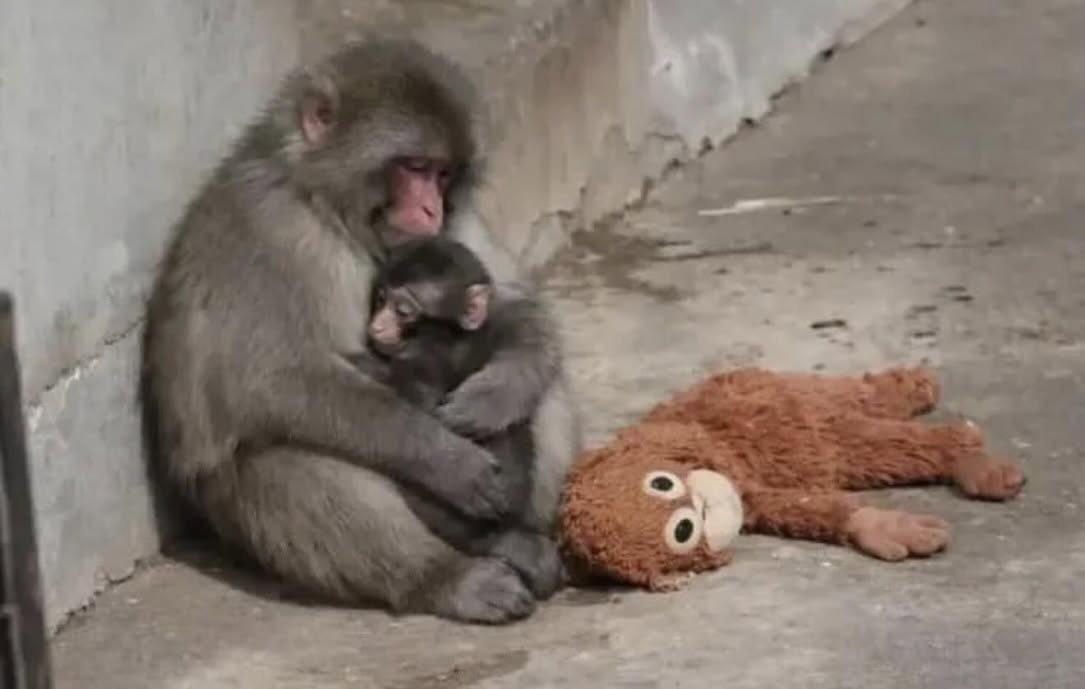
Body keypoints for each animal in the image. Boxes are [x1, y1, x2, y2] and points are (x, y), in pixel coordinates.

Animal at [142, 39, 581, 625]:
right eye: (414, 168)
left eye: (443, 175)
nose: (432, 208)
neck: (327, 209)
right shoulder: (270, 229)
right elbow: (271, 381)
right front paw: (448, 461)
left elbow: (512, 307)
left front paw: (494, 395)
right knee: (287, 456)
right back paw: (449, 576)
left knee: (541, 381)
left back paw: (523, 539)